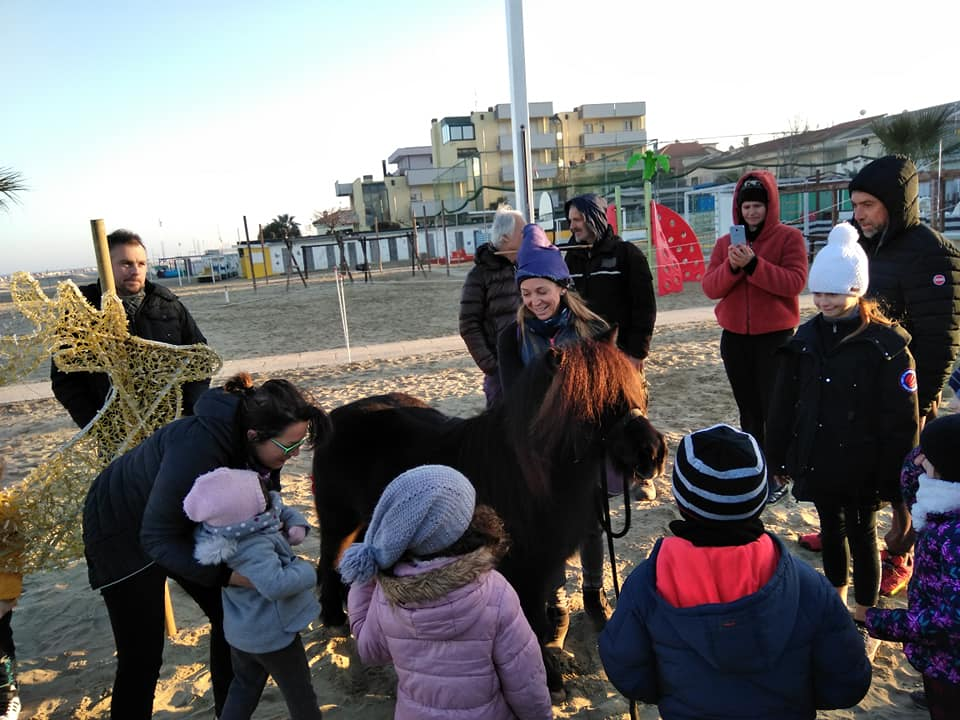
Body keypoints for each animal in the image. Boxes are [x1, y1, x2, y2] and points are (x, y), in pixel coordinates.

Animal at [312, 330, 664, 692]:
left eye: (639, 391)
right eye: (594, 405)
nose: (652, 454)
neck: (523, 474)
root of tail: (335, 416)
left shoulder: (541, 567)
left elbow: (535, 621)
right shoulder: (522, 568)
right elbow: (529, 622)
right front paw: (549, 679)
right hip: (339, 520)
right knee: (329, 561)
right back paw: (334, 618)